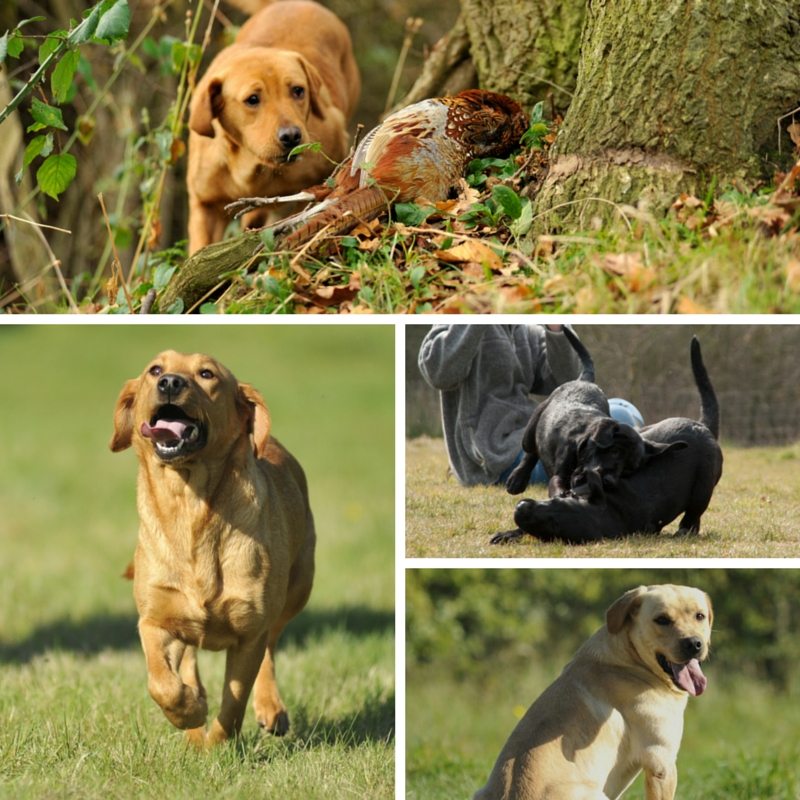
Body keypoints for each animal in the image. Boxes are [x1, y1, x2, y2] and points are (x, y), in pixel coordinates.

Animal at [110, 354, 316, 748]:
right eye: (155, 370)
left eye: (207, 374)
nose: (170, 382)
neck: (190, 505)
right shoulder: (156, 618)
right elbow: (162, 683)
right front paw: (190, 712)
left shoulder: (250, 631)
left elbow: (233, 702)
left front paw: (216, 747)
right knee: (188, 661)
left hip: (297, 588)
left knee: (271, 646)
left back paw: (270, 708)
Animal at [494, 338, 724, 544]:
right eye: (613, 452)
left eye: (631, 468)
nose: (609, 482)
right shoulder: (561, 472)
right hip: (535, 422)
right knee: (530, 449)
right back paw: (517, 479)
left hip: (703, 487)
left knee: (693, 516)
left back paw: (684, 531)